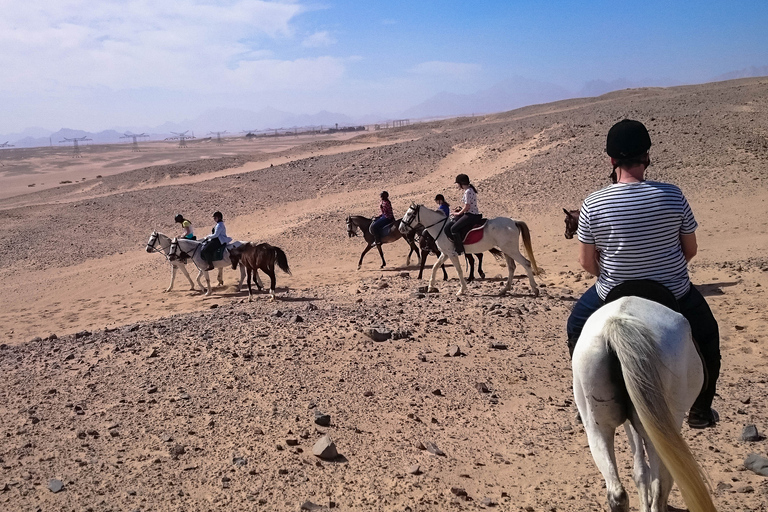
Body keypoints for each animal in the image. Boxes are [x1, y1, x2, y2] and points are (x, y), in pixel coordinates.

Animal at [396, 202, 540, 294]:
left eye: (409, 214)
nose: (401, 228)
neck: (440, 227)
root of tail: (513, 222)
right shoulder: (445, 253)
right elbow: (435, 267)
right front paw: (431, 286)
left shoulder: (452, 254)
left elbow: (459, 270)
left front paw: (462, 290)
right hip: (506, 250)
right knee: (512, 267)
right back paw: (505, 289)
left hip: (511, 250)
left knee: (526, 263)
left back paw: (534, 289)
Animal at [576, 296, 712, 512]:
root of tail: (616, 322)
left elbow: (639, 470)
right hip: (662, 427)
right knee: (661, 486)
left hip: (597, 427)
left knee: (617, 493)